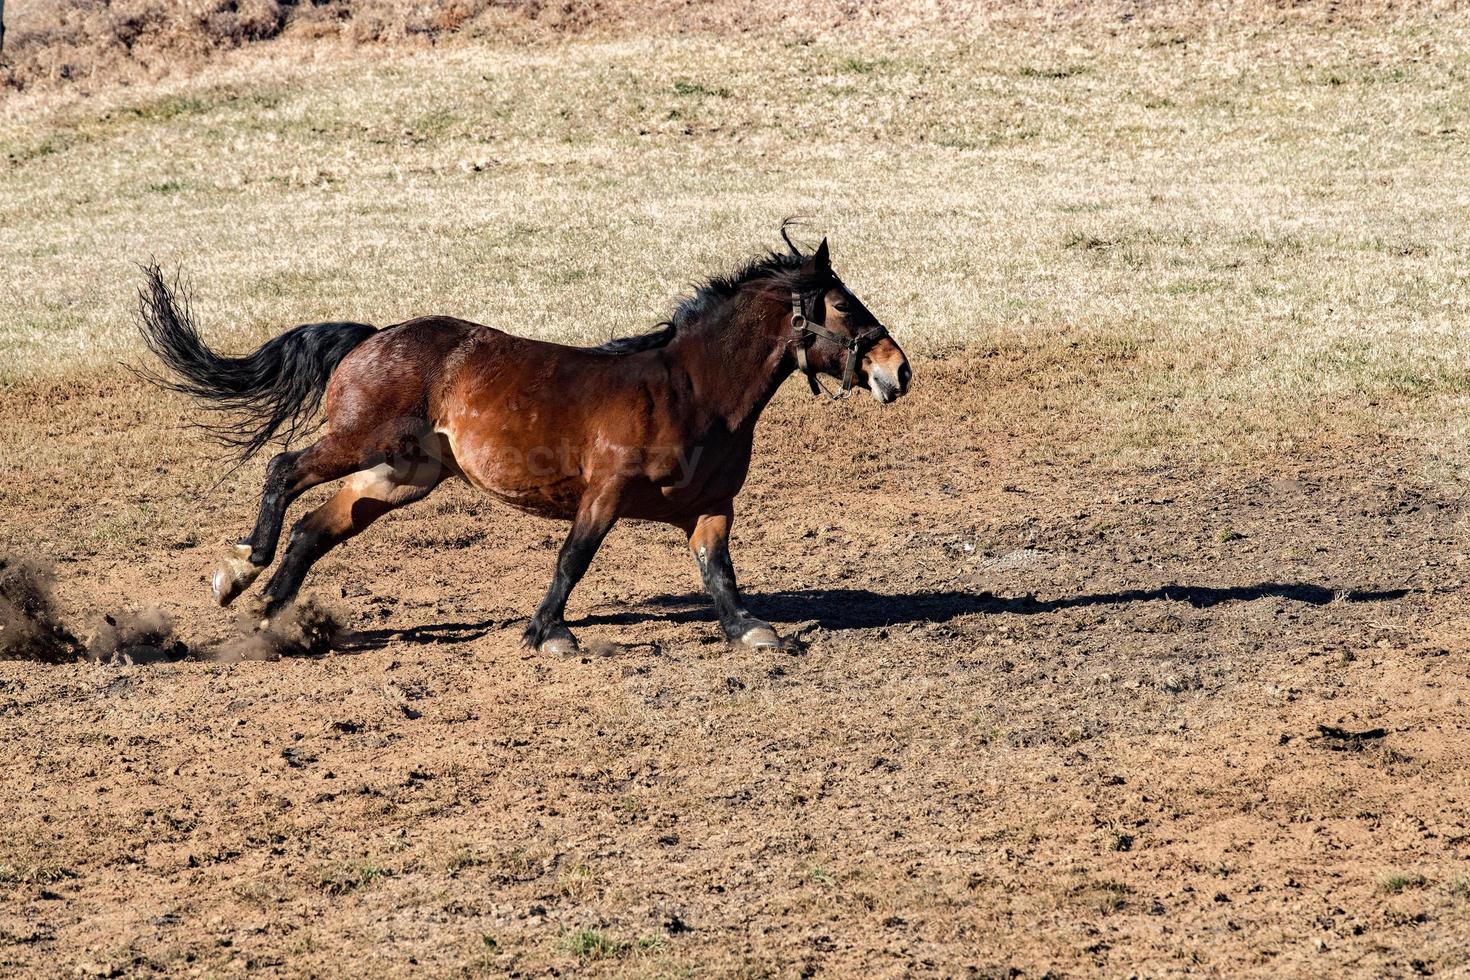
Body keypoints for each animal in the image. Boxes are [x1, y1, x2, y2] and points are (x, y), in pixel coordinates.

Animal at [143, 233, 911, 655]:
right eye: (844, 307)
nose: (897, 369)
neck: (692, 389)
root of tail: (373, 336)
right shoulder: (604, 494)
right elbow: (573, 560)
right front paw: (550, 634)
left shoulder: (710, 506)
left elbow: (718, 573)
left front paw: (750, 630)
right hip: (359, 441)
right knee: (284, 470)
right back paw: (241, 568)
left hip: (401, 475)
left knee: (315, 527)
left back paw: (269, 612)